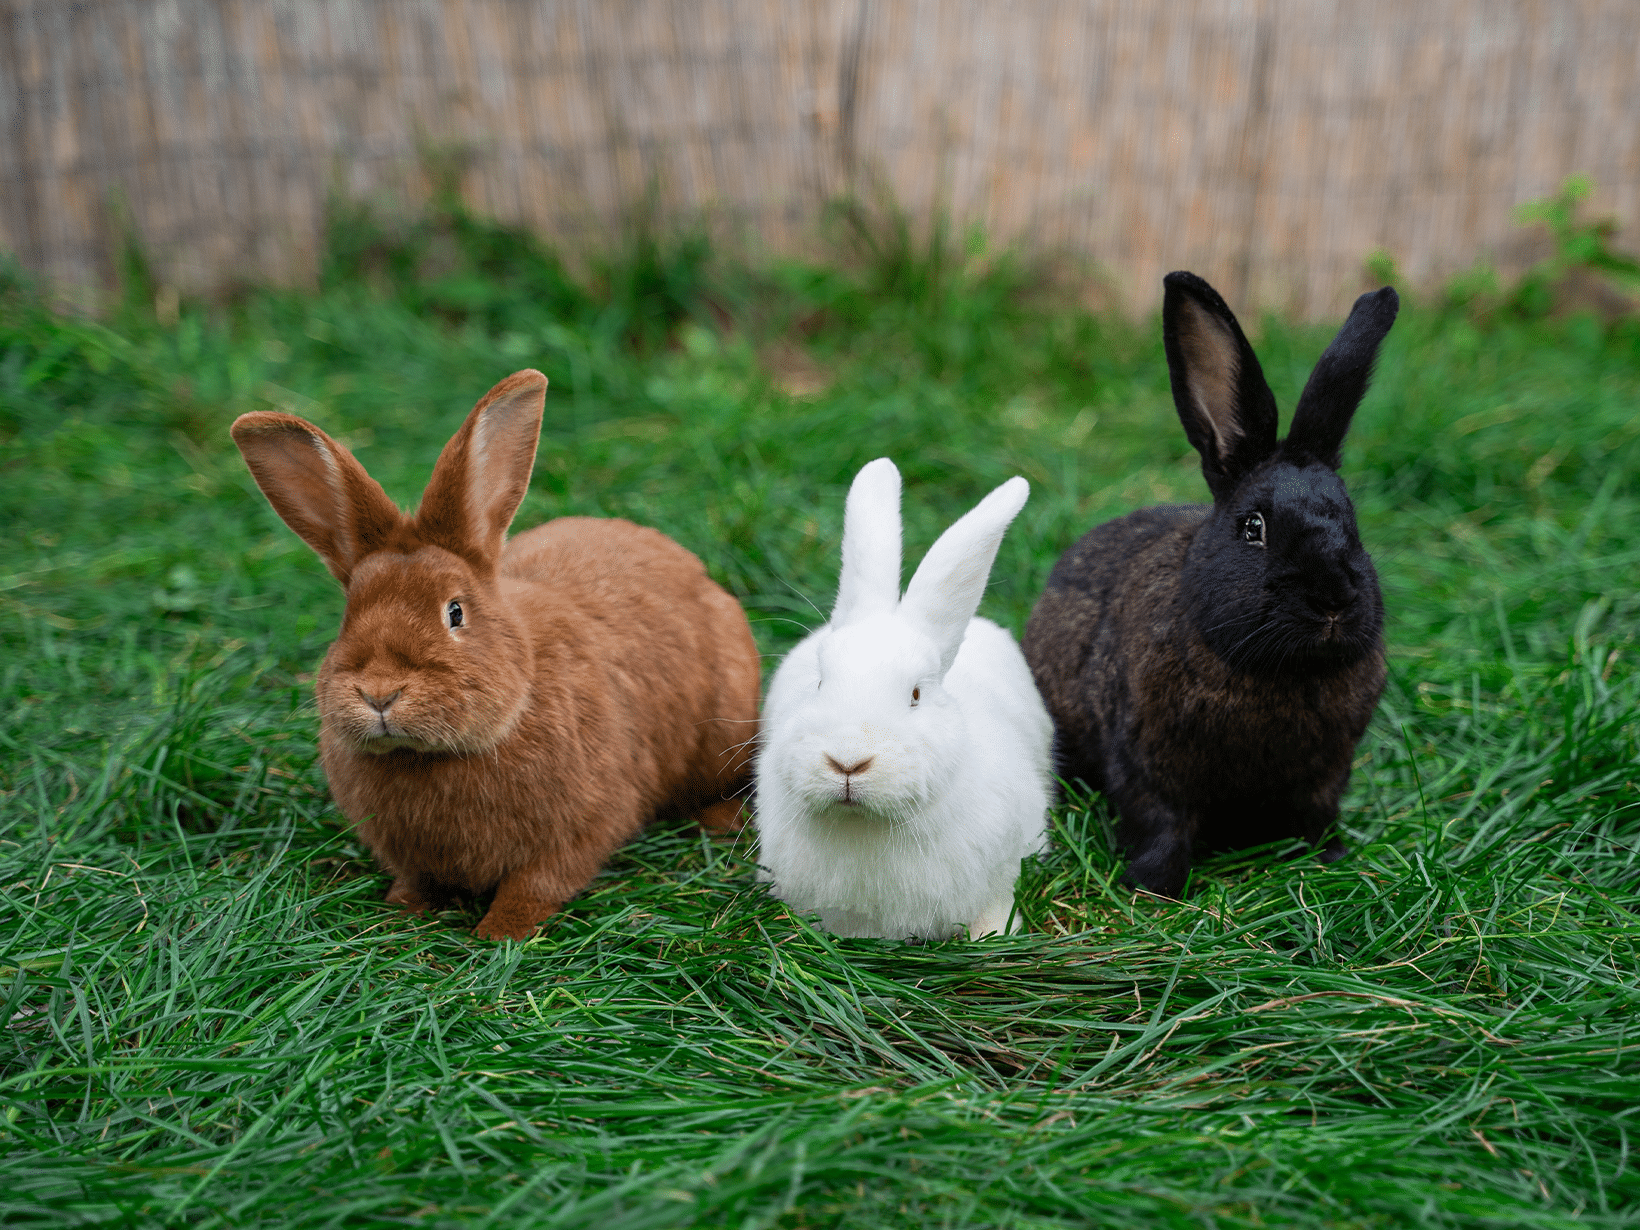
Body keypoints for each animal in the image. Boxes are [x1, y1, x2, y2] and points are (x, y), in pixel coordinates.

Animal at [227, 370, 757, 938]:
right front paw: (399, 915)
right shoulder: (413, 857)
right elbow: (417, 882)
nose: (380, 693)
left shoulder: (579, 829)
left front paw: (501, 932)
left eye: (455, 612)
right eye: (349, 615)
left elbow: (536, 885)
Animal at [751, 462, 1049, 944]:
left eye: (915, 695)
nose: (847, 762)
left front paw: (994, 937)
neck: (865, 824)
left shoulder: (997, 880)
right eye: (820, 682)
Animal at [1023, 273, 1397, 898]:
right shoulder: (1148, 770)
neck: (1279, 672)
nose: (1333, 601)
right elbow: (1161, 828)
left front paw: (1334, 860)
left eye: (1353, 523)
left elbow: (1318, 818)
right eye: (1253, 527)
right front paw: (1151, 890)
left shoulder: (1325, 778)